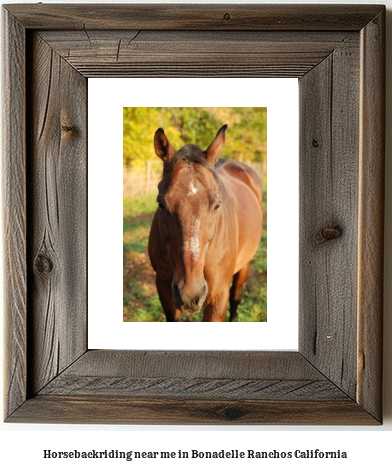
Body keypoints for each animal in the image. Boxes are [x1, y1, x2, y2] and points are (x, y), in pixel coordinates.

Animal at [149, 125, 262, 322]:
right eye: (161, 203)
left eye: (216, 205)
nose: (189, 294)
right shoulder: (164, 290)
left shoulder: (218, 296)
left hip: (244, 264)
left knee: (236, 296)